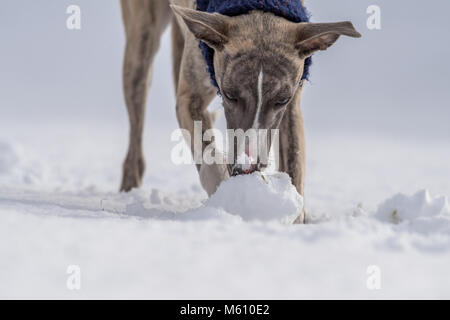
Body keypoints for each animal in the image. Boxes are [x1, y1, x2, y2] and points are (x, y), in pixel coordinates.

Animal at [118, 0, 360, 222]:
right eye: (230, 95)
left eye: (282, 99)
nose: (247, 166)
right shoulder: (190, 98)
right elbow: (209, 158)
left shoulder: (292, 105)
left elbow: (295, 160)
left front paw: (294, 214)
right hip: (142, 43)